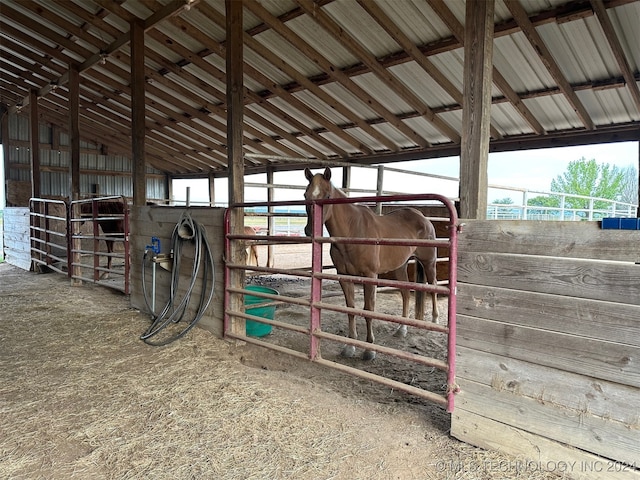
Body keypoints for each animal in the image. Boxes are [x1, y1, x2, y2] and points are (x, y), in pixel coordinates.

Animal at [304, 169, 436, 360]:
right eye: (305, 195)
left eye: (327, 196)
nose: (309, 230)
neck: (352, 232)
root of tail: (422, 217)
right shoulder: (344, 276)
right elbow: (351, 308)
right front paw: (350, 346)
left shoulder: (370, 276)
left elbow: (368, 309)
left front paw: (369, 350)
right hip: (400, 267)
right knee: (405, 293)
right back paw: (401, 329)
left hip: (428, 262)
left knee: (433, 287)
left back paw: (435, 320)